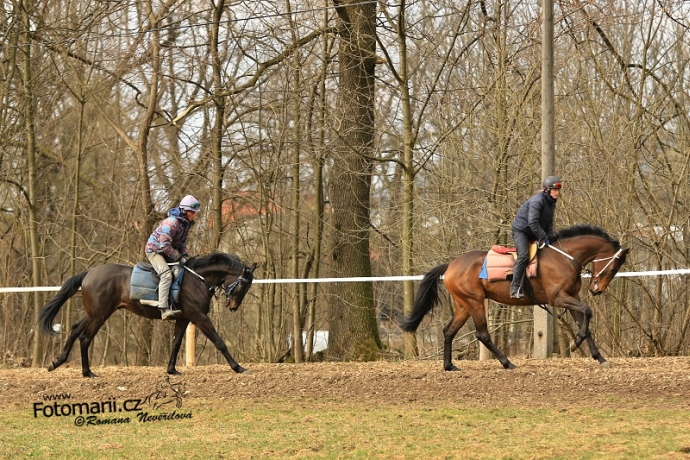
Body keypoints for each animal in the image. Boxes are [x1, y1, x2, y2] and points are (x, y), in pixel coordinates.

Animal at [38, 253, 258, 380]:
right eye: (243, 285)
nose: (233, 306)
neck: (198, 279)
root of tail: (89, 272)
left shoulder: (184, 318)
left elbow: (176, 343)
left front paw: (171, 370)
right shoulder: (199, 317)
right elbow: (219, 342)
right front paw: (238, 367)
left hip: (94, 313)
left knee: (75, 329)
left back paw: (57, 362)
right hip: (100, 314)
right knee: (84, 338)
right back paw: (87, 372)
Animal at [398, 225, 628, 372]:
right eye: (614, 266)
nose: (597, 289)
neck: (564, 257)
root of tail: (451, 265)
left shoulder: (572, 297)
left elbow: (585, 323)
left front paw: (599, 357)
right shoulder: (558, 298)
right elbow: (587, 311)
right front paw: (575, 343)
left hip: (463, 306)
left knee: (449, 331)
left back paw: (449, 366)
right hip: (475, 303)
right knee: (482, 335)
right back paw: (507, 363)